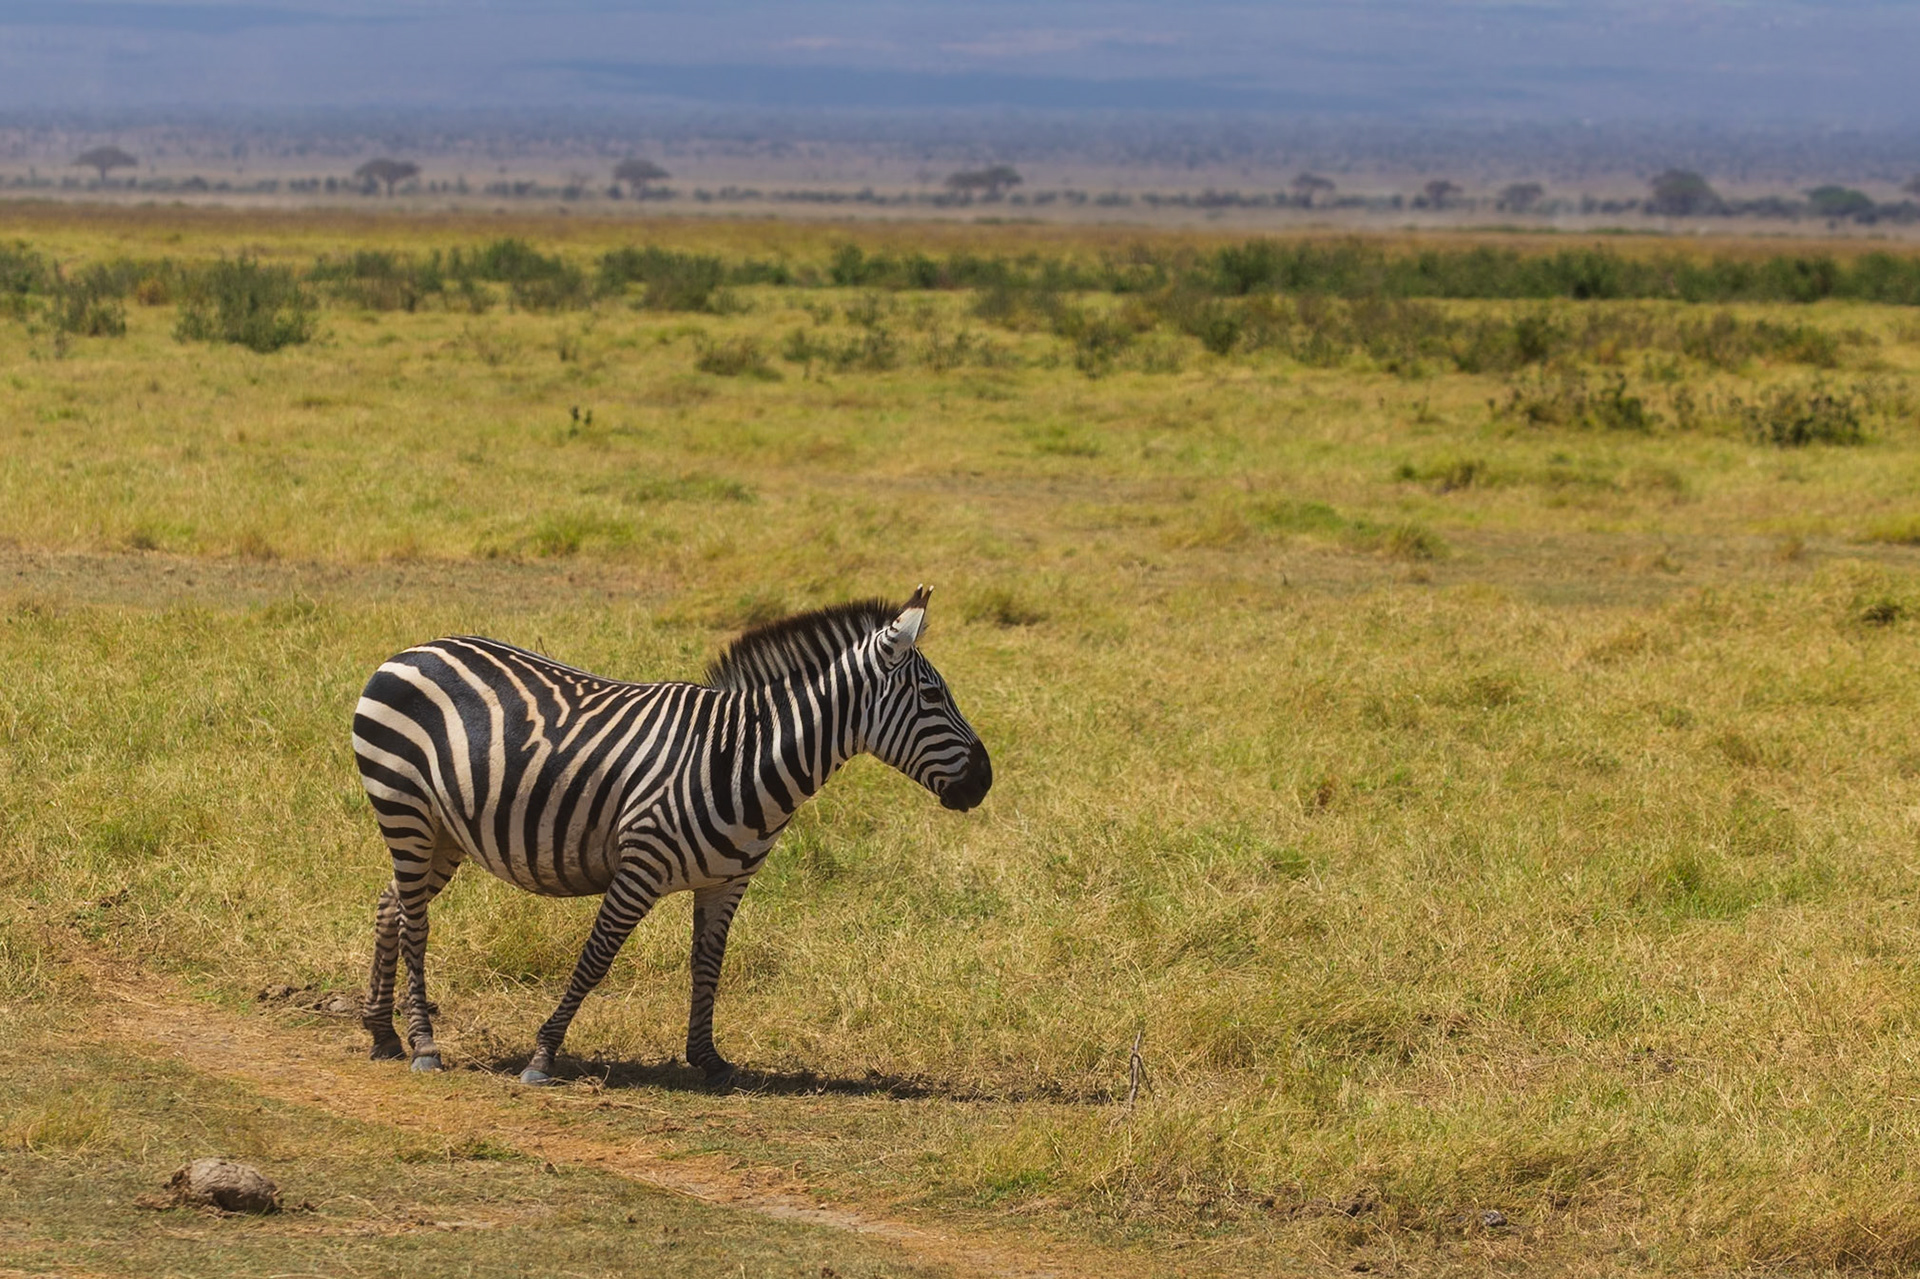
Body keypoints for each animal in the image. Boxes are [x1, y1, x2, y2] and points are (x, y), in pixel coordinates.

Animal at [350, 586, 991, 1084]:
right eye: (932, 695)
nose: (984, 780)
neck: (742, 758)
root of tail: (412, 650)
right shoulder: (641, 866)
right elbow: (596, 958)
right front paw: (544, 1054)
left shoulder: (728, 881)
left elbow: (708, 963)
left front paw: (708, 1059)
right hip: (404, 806)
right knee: (415, 922)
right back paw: (424, 1045)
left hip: (442, 832)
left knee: (391, 905)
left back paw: (383, 1034)